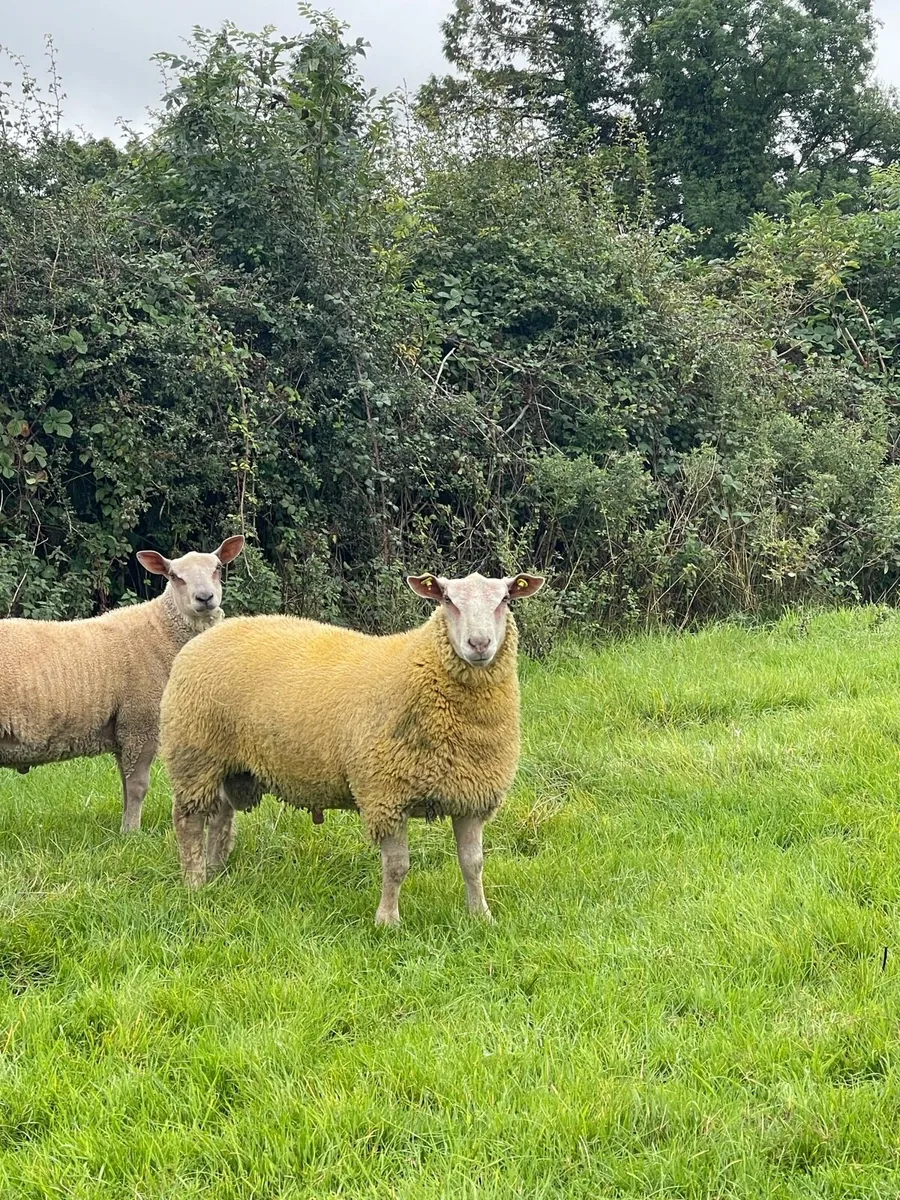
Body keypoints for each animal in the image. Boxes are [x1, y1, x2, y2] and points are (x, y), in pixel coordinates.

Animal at [0, 535, 245, 832]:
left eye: (218, 568)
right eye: (175, 576)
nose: (205, 598)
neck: (161, 631)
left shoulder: (124, 730)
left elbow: (126, 786)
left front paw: (125, 827)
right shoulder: (140, 723)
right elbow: (138, 786)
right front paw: (131, 832)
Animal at [160, 569, 545, 924]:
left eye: (505, 600)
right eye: (448, 600)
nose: (479, 644)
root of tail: (205, 636)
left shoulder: (471, 795)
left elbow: (473, 863)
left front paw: (481, 916)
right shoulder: (385, 795)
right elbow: (397, 867)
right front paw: (388, 921)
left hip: (228, 762)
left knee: (221, 817)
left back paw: (216, 871)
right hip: (194, 754)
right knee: (188, 821)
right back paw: (195, 883)